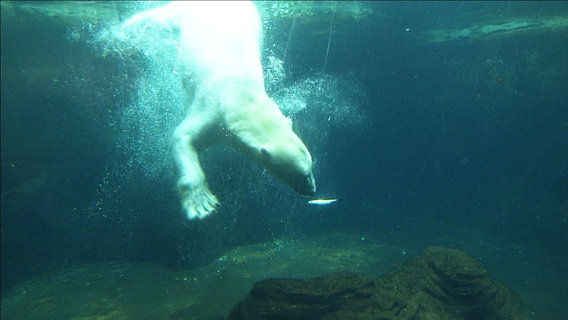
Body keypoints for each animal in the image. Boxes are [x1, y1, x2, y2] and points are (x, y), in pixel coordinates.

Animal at [120, 1, 316, 219]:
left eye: (310, 166)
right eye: (301, 175)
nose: (312, 190)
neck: (241, 95)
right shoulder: (213, 113)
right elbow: (181, 137)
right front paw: (201, 203)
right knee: (163, 17)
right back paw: (126, 30)